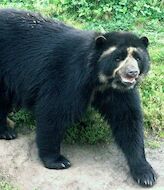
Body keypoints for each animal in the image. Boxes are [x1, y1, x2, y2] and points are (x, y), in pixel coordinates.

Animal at [0, 8, 157, 187]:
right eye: (118, 57)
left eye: (138, 58)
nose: (132, 73)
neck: (100, 79)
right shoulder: (69, 76)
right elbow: (54, 111)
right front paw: (57, 160)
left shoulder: (119, 92)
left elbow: (127, 120)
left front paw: (145, 174)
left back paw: (6, 132)